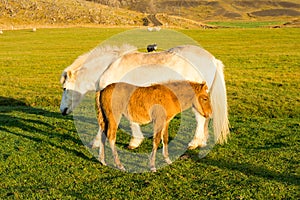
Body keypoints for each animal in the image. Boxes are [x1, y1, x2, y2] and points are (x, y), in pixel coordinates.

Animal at [60, 44, 230, 150]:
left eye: (65, 88)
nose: (62, 110)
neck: (109, 67)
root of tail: (212, 59)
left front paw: (97, 142)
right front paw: (135, 141)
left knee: (200, 119)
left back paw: (194, 143)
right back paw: (202, 142)